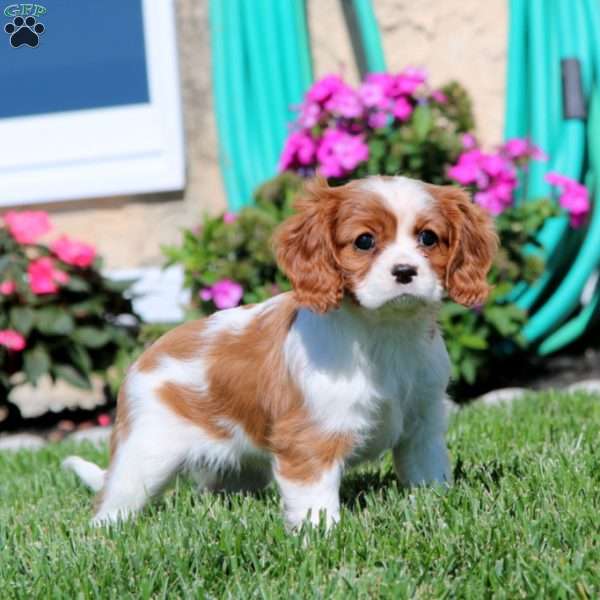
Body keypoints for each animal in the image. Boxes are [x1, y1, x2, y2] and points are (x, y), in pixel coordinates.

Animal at [64, 176, 496, 528]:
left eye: (428, 238)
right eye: (365, 241)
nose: (405, 271)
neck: (385, 331)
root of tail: (144, 357)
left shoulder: (422, 425)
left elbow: (428, 475)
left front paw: (436, 508)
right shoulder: (309, 439)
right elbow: (315, 501)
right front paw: (321, 538)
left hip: (234, 468)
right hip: (146, 454)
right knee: (114, 503)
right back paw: (106, 533)